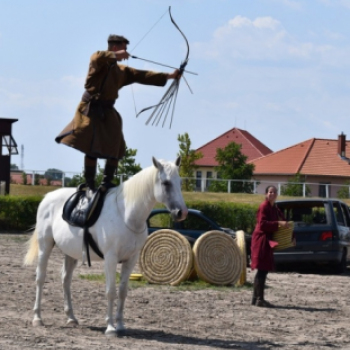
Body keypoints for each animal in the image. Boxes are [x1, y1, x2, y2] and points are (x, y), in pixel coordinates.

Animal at [23, 157, 189, 336]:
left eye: (180, 182)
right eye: (166, 183)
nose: (182, 213)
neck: (126, 215)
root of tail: (47, 197)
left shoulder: (131, 259)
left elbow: (122, 292)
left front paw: (121, 325)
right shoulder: (110, 258)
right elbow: (111, 291)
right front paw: (110, 328)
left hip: (71, 253)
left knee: (66, 280)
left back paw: (71, 318)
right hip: (45, 246)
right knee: (40, 278)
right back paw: (37, 318)